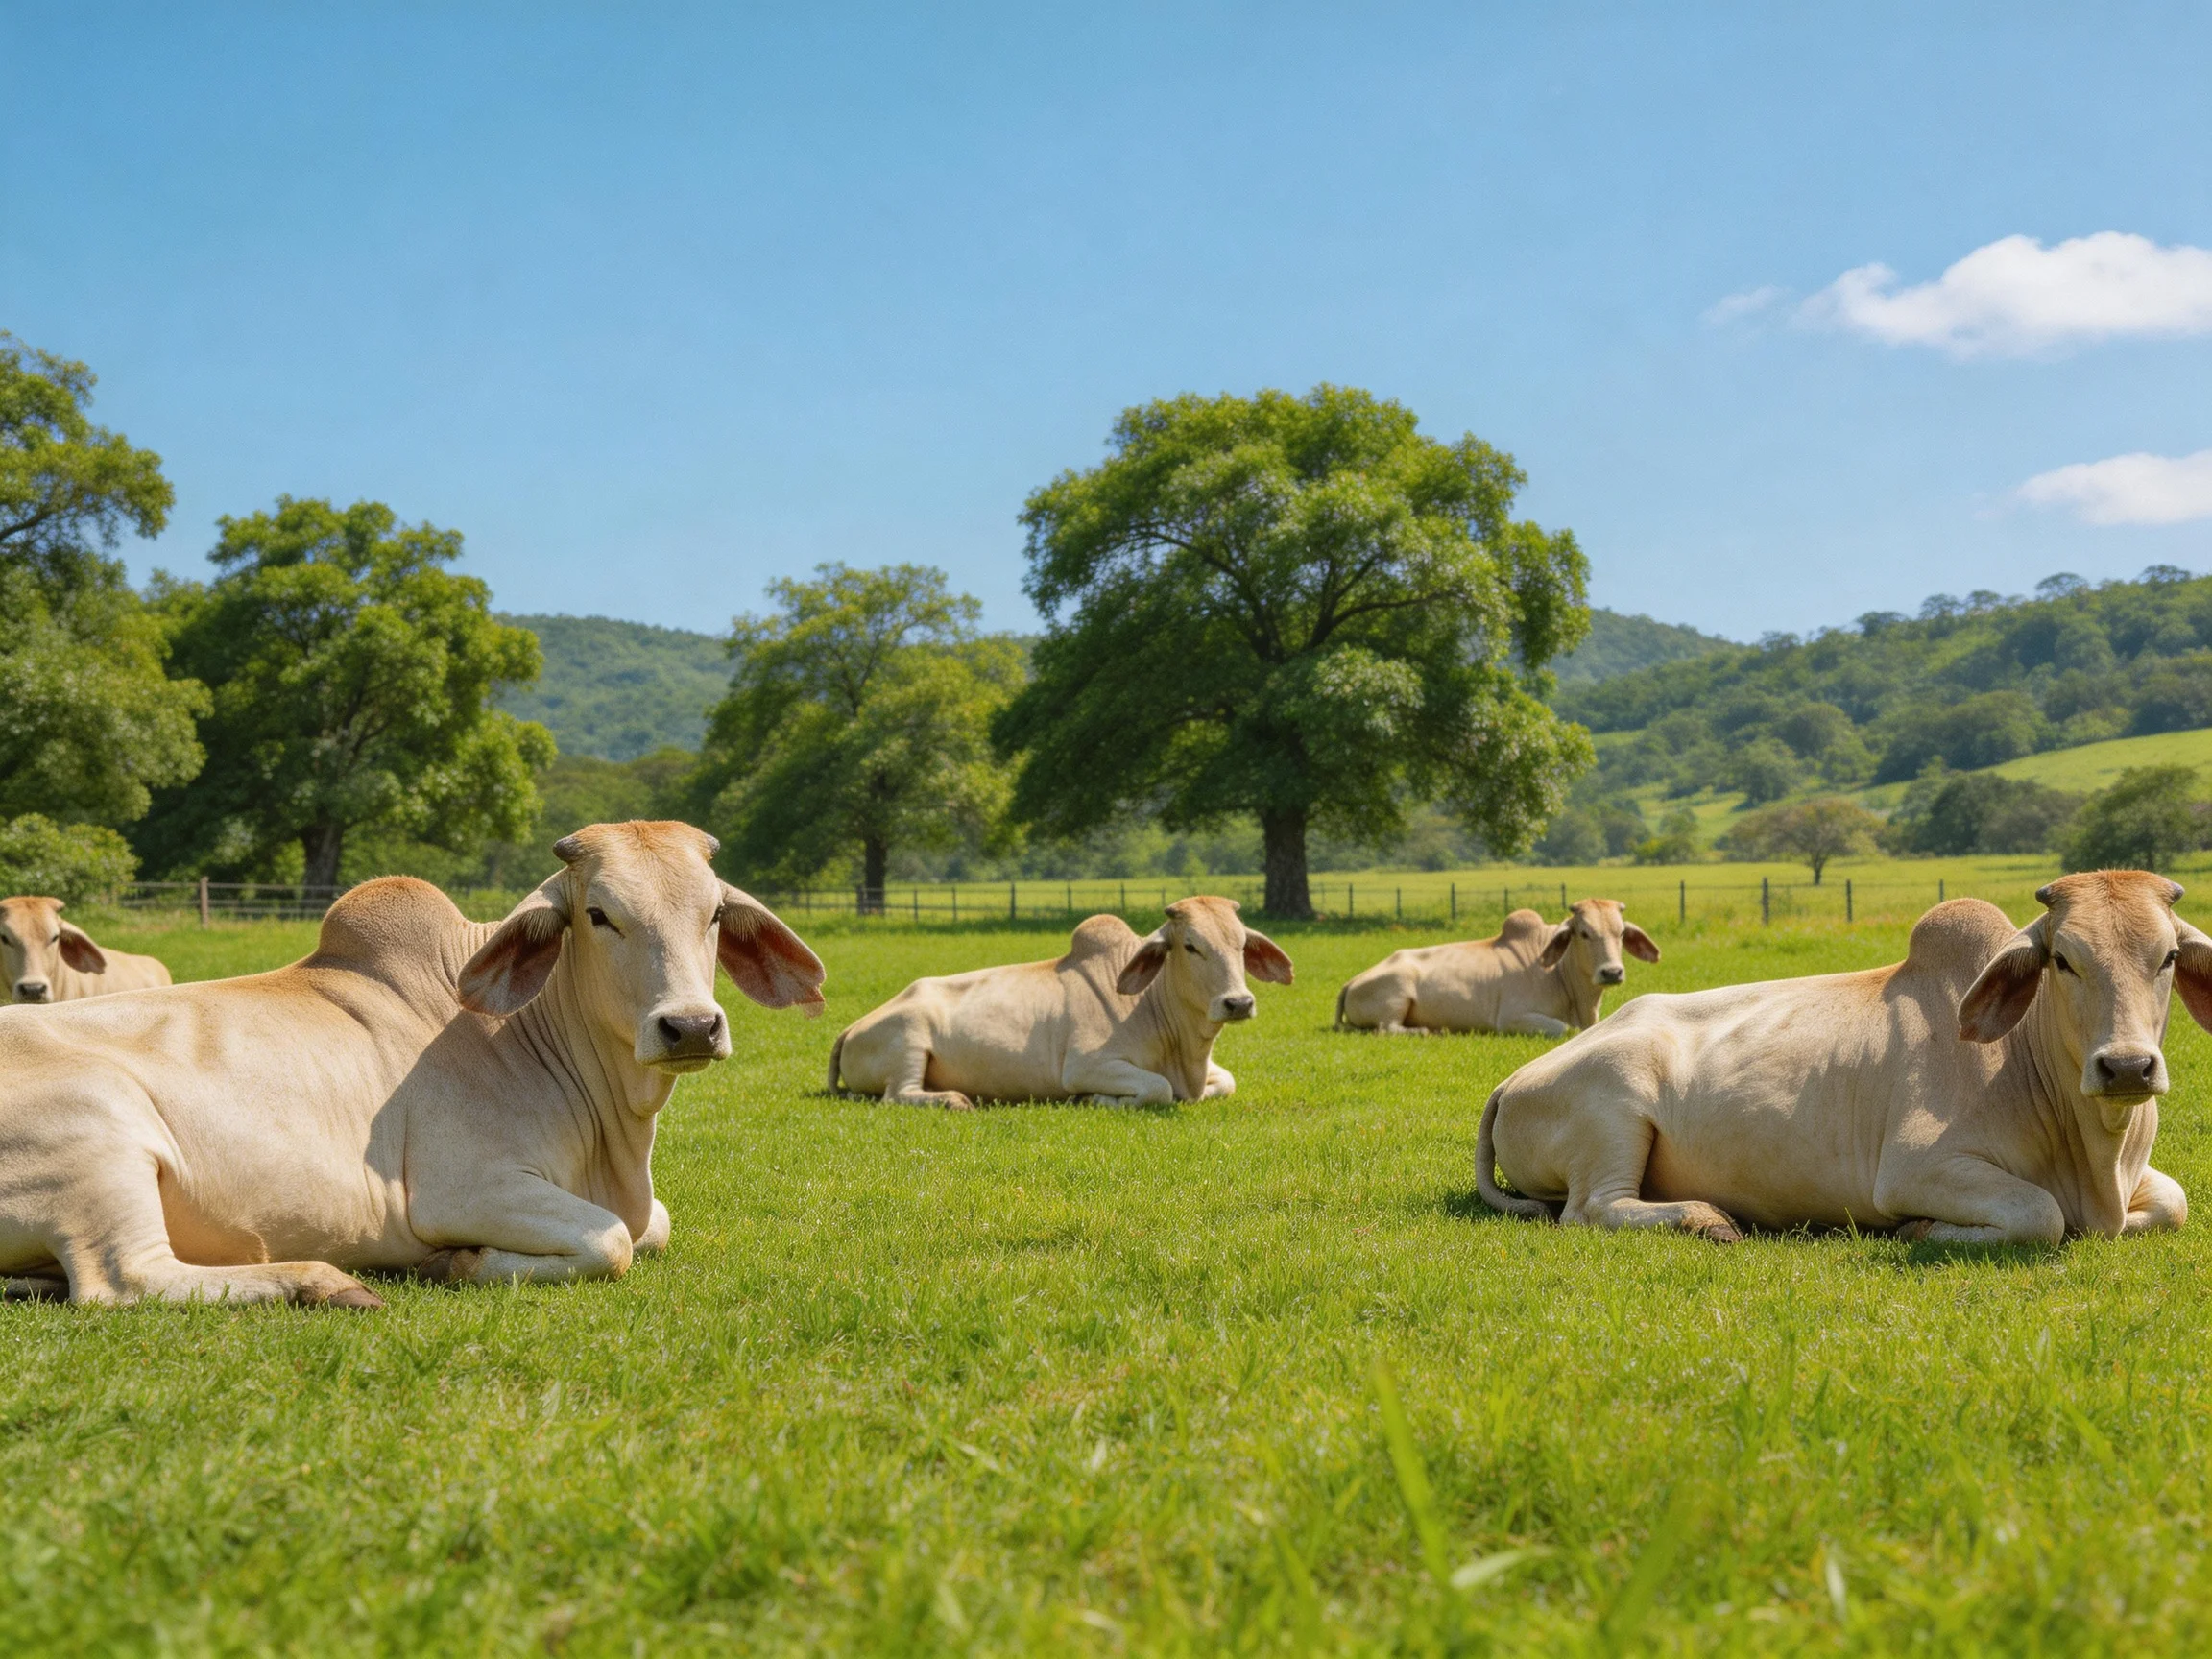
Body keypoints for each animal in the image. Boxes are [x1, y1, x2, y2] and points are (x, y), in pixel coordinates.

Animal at [829, 896, 1293, 1108]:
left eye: (1241, 944)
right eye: (1191, 946)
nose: (1237, 1003)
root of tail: (852, 1027)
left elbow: (1227, 1081)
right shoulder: (1087, 1064)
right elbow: (1157, 1089)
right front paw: (1096, 1100)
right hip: (908, 1038)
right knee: (898, 1094)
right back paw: (953, 1100)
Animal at [1336, 900, 1658, 1037]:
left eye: (1620, 933)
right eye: (1584, 933)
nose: (1611, 972)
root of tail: (1352, 982)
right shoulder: (1511, 1019)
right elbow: (1562, 1028)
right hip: (1397, 994)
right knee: (1386, 1029)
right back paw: (1425, 1031)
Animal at [1475, 873, 2207, 1246]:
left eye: (2169, 956)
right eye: (2062, 960)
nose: (2127, 1067)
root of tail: (1511, 1079)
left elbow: (2174, 1202)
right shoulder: (1916, 1167)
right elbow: (2042, 1217)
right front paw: (1921, 1229)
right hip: (1614, 1107)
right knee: (1590, 1210)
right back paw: (1707, 1218)